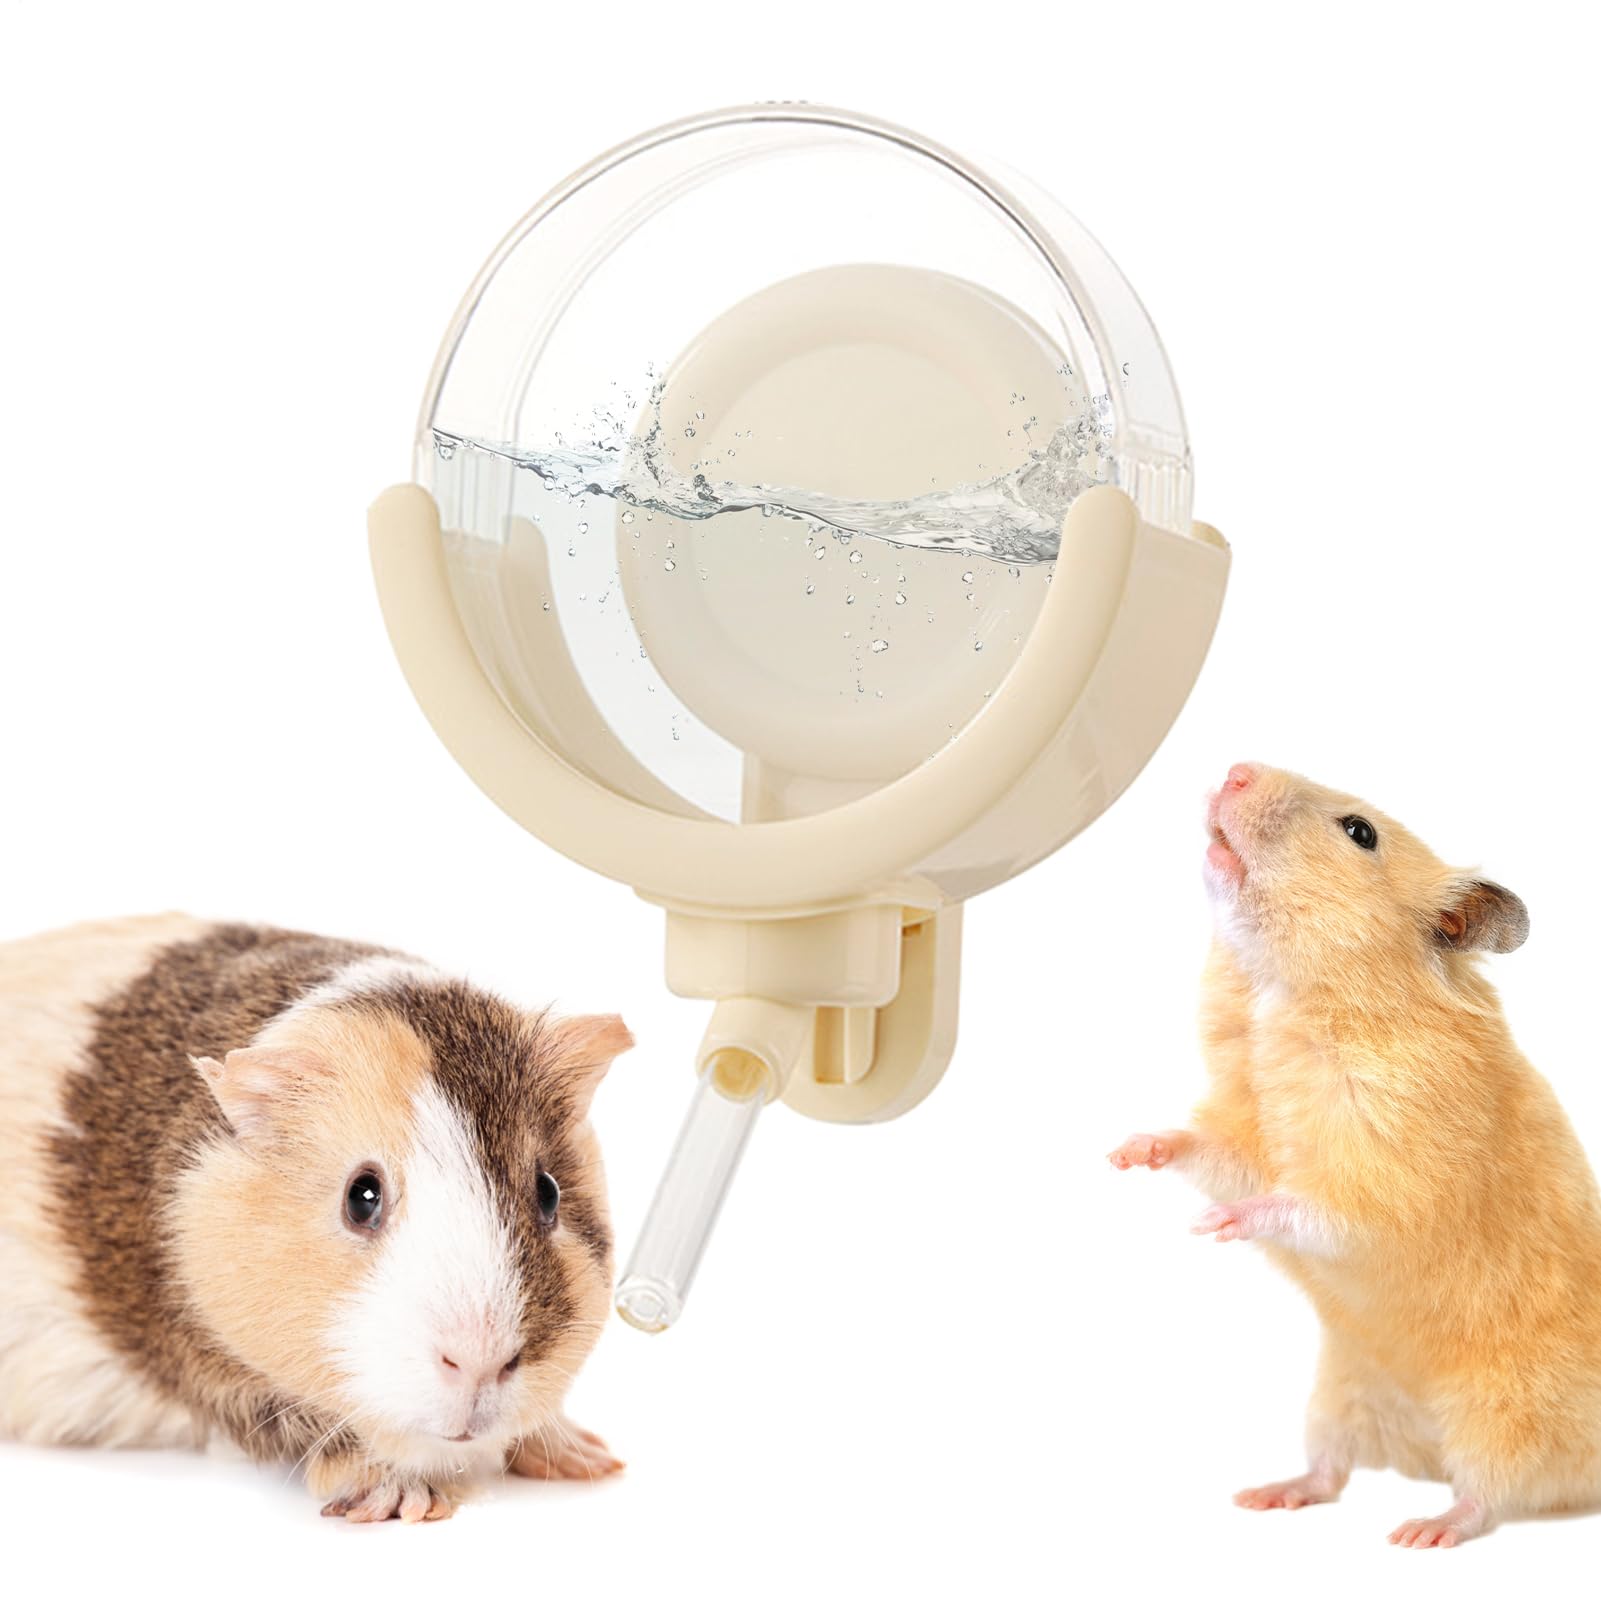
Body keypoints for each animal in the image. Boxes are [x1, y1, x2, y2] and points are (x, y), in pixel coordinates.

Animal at [1109, 763, 1601, 1549]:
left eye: (1359, 832)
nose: (1234, 770)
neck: (1282, 993)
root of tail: (1423, 1453)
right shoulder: (1246, 1134)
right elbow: (1210, 1151)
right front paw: (1130, 1151)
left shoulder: (1389, 1175)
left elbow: (1310, 1208)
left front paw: (1218, 1225)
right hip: (1341, 1387)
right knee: (1331, 1471)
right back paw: (1269, 1494)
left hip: (1506, 1408)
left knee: (1488, 1492)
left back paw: (1423, 1530)